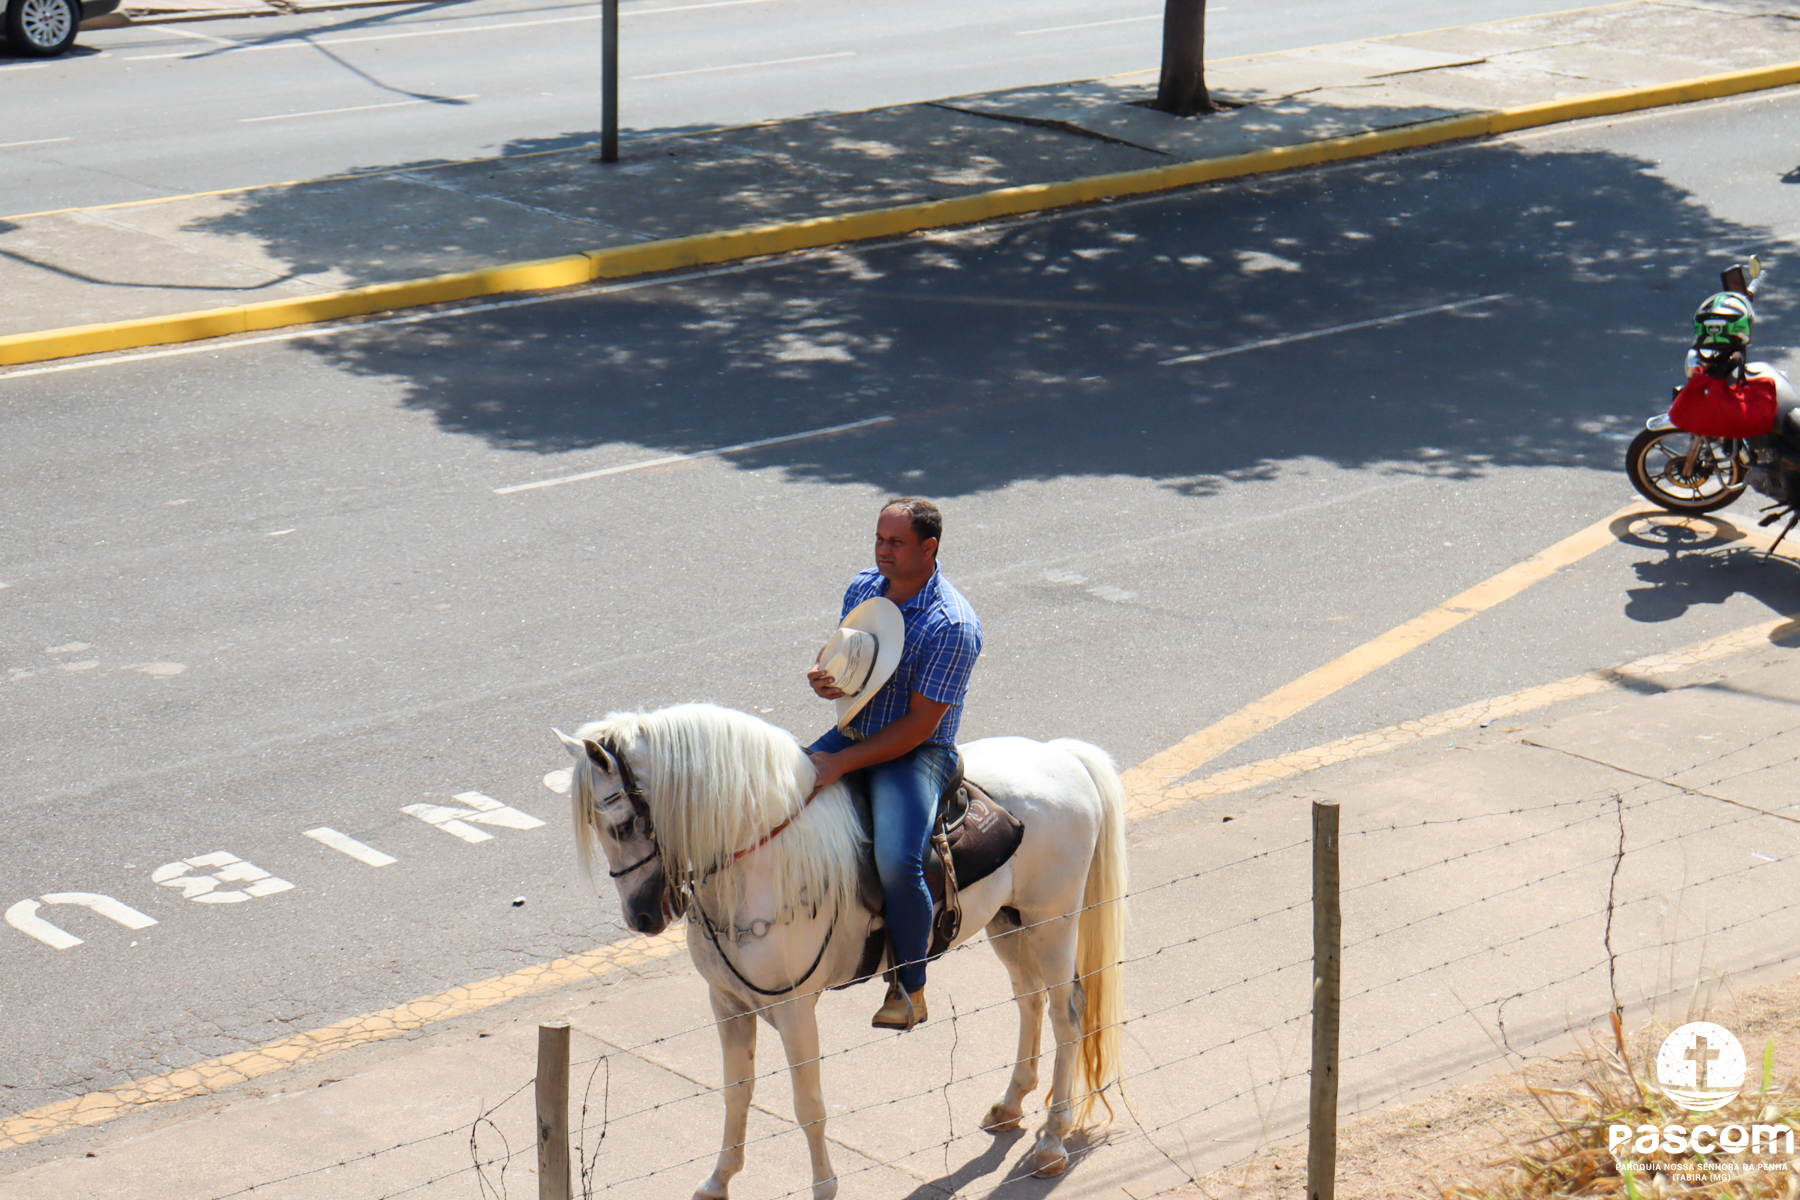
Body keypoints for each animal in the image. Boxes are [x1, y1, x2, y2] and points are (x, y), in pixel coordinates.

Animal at [557, 703, 1128, 1200]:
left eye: (621, 824)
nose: (642, 917)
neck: (759, 864)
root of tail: (1061, 755)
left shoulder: (793, 1011)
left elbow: (807, 1104)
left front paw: (823, 1188)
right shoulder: (728, 1005)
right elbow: (736, 1090)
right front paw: (719, 1180)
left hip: (1052, 922)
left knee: (1067, 1014)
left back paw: (1052, 1140)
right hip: (1008, 923)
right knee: (1030, 1000)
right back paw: (1011, 1103)